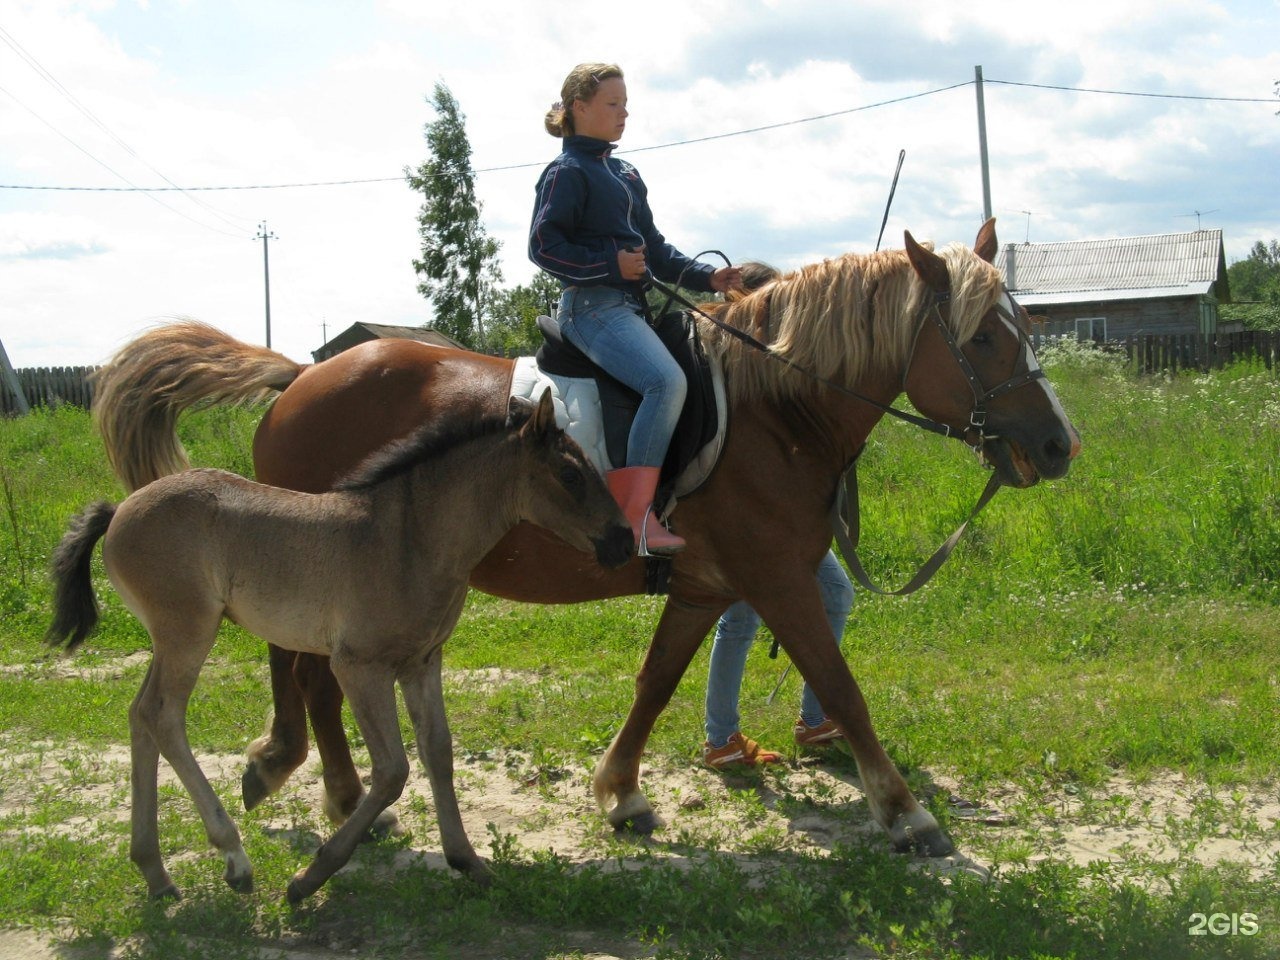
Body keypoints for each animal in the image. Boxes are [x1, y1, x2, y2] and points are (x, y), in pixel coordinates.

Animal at [46, 394, 634, 906]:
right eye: (571, 474)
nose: (625, 541)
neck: (409, 539)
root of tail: (120, 508)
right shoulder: (359, 666)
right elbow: (393, 769)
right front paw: (312, 877)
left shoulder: (422, 663)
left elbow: (438, 753)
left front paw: (469, 862)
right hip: (188, 632)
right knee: (162, 715)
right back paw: (233, 858)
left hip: (168, 639)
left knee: (139, 715)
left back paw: (156, 872)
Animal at [97, 224, 1080, 855]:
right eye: (984, 339)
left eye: (1025, 328)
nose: (1057, 445)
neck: (770, 408)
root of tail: (299, 378)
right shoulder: (777, 583)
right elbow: (841, 686)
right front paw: (905, 813)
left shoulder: (706, 586)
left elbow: (656, 683)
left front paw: (621, 791)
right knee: (309, 679)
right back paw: (329, 788)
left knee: (309, 679)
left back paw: (318, 783)